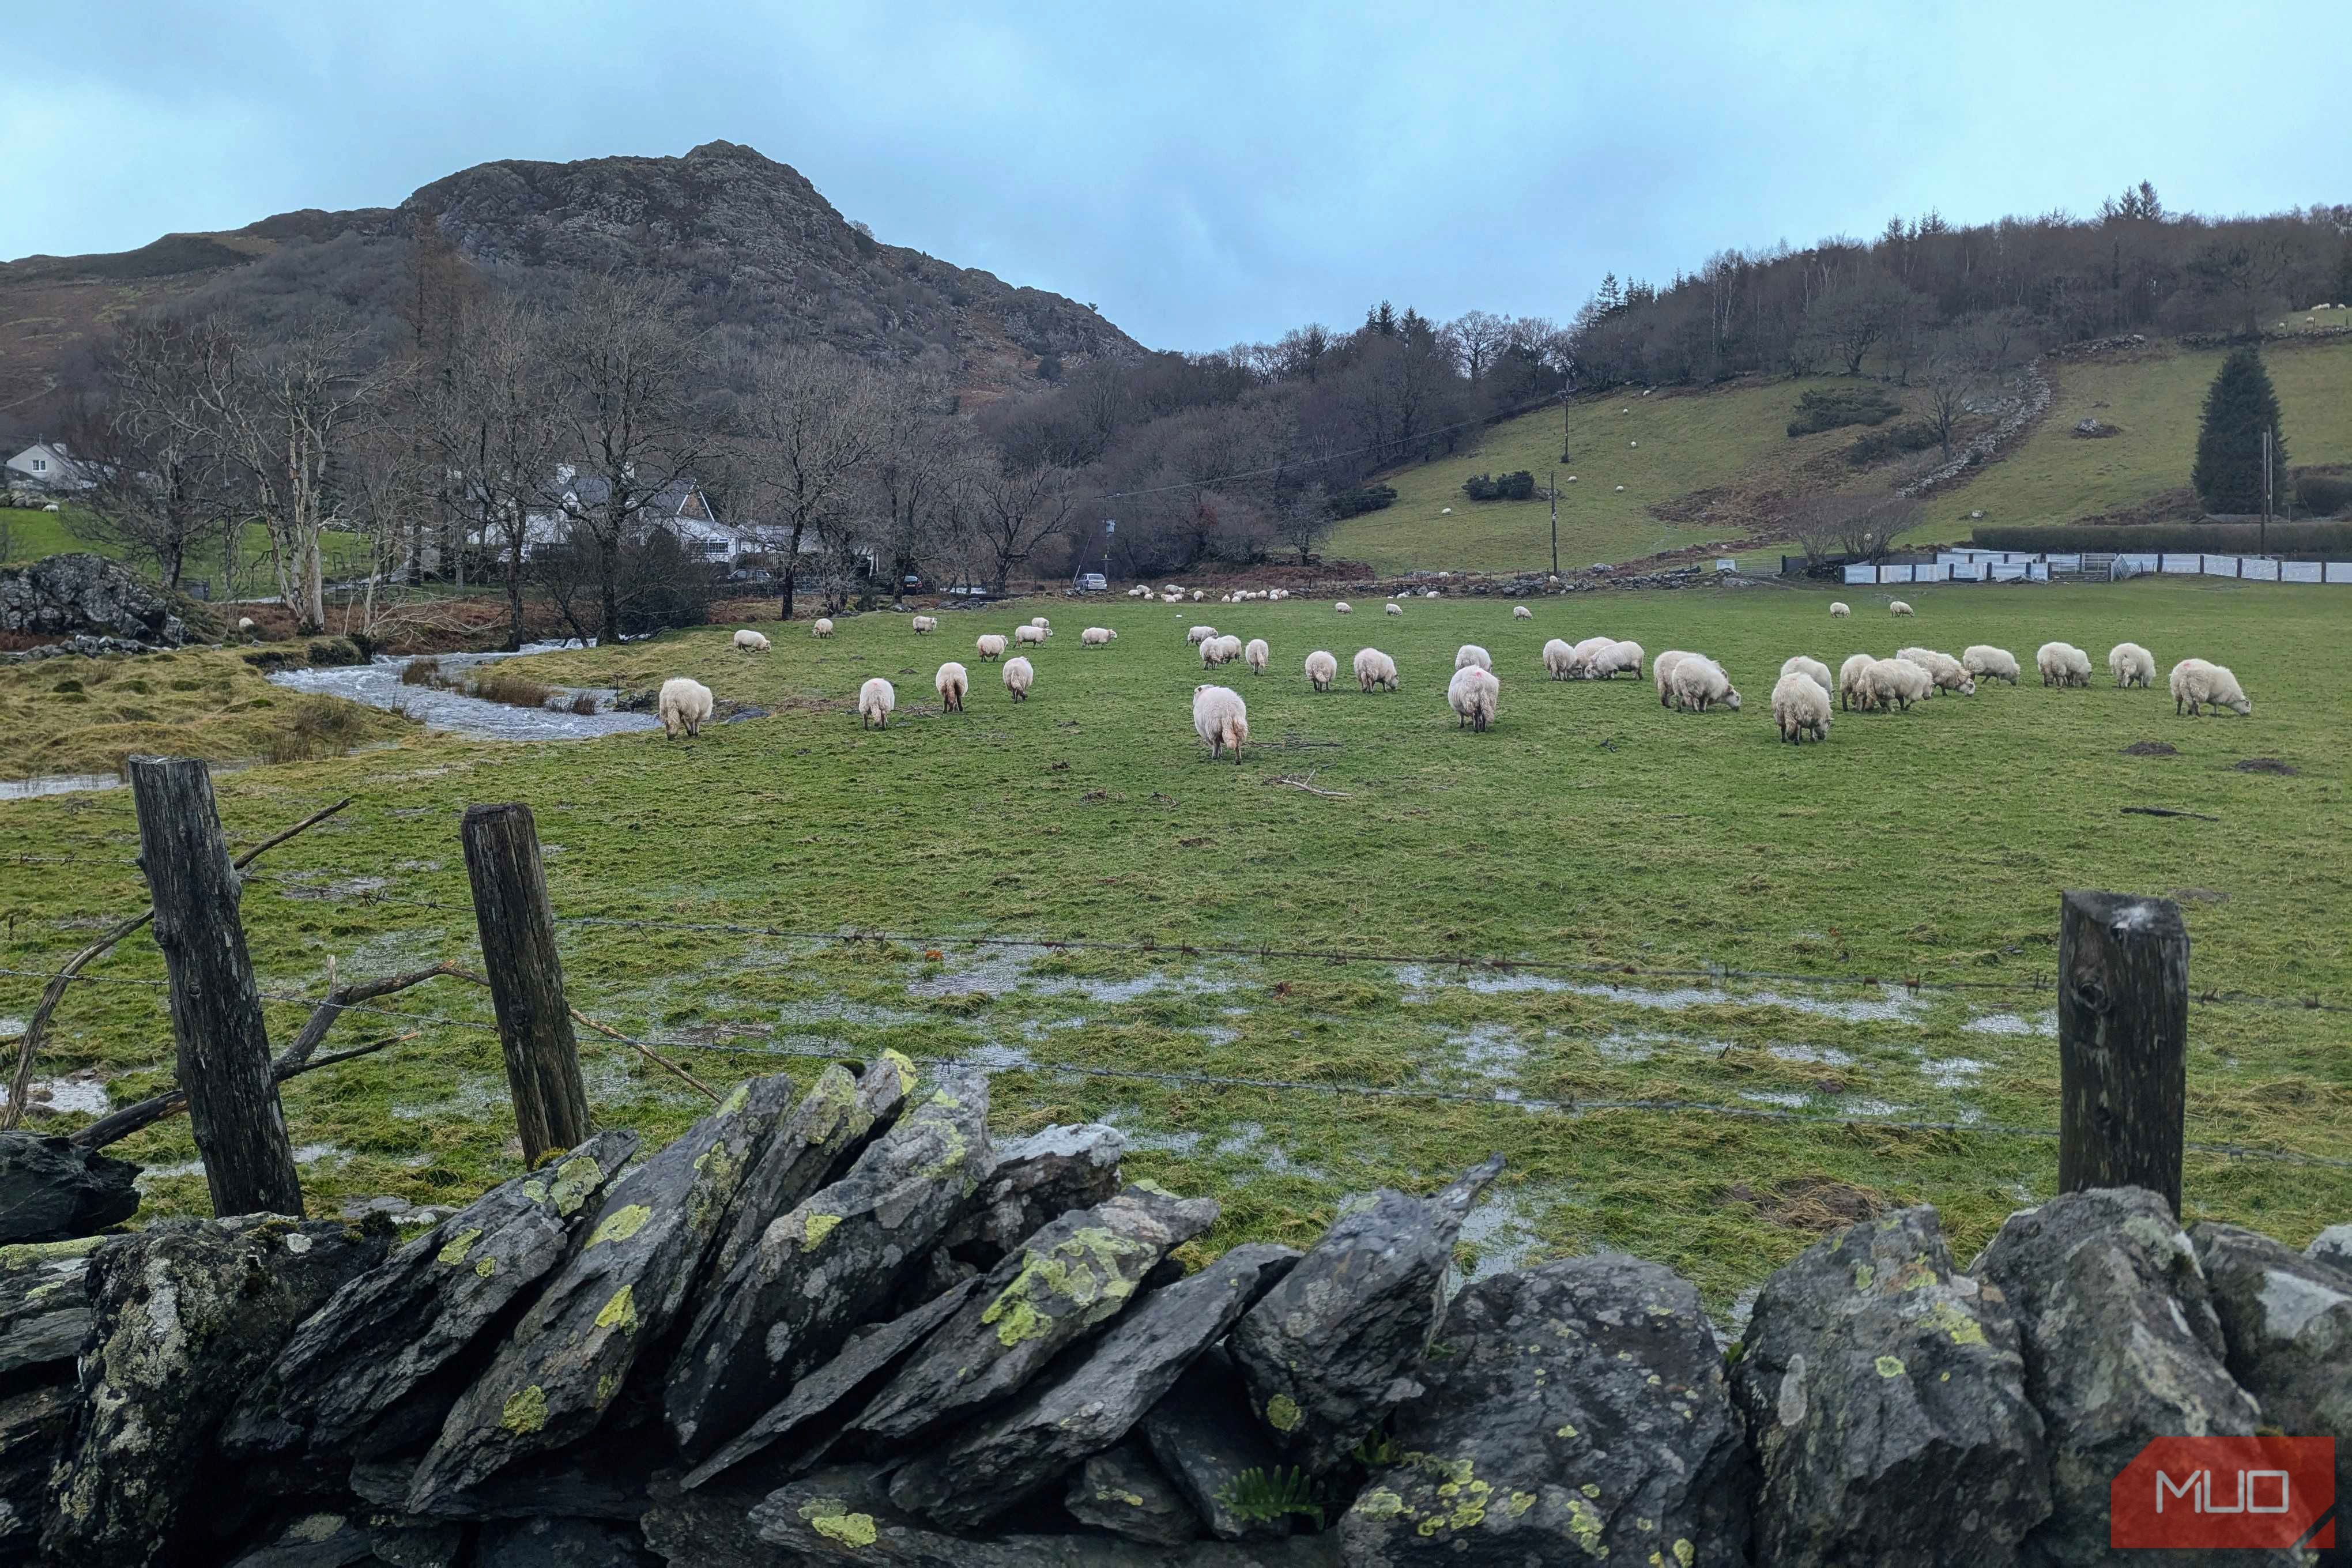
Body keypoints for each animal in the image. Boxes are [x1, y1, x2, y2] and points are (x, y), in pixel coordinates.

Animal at [1194, 681, 1251, 762]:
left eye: (1195, 693)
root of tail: (1227, 709)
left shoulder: (1205, 732)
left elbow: (1215, 744)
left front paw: (1219, 754)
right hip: (1238, 724)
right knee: (1238, 743)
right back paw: (1238, 758)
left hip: (1214, 726)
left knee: (1216, 742)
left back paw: (1215, 756)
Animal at [1665, 658, 1740, 714]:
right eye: (1737, 698)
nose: (1738, 709)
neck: (1722, 691)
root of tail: (1681, 673)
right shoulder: (1708, 692)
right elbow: (1704, 701)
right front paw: (1703, 710)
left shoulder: (1704, 693)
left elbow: (1702, 701)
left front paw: (1701, 709)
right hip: (1693, 687)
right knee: (1693, 699)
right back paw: (1695, 710)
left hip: (1677, 687)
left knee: (1678, 698)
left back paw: (1680, 710)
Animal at [1769, 672, 1834, 747]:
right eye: (1829, 724)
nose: (1823, 738)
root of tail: (1787, 696)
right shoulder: (1813, 715)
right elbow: (1812, 728)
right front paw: (1812, 738)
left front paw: (1801, 737)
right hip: (1798, 711)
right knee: (1797, 726)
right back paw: (1797, 742)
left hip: (1780, 712)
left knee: (1783, 727)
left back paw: (1784, 740)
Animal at [2163, 658, 2257, 719]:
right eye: (2248, 706)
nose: (2248, 714)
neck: (2232, 697)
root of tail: (2184, 671)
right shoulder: (2219, 697)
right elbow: (2216, 707)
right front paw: (2216, 714)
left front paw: (2189, 712)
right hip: (2199, 689)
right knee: (2196, 702)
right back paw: (2198, 714)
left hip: (2177, 688)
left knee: (2180, 702)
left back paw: (2179, 713)